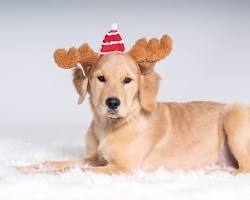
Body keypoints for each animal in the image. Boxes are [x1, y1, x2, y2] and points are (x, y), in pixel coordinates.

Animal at [17, 27, 250, 175]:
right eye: (100, 78)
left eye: (127, 80)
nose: (112, 103)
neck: (109, 126)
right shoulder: (96, 157)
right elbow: (54, 162)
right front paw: (22, 167)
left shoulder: (122, 168)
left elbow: (68, 170)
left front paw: (35, 175)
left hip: (235, 113)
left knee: (244, 170)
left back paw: (215, 173)